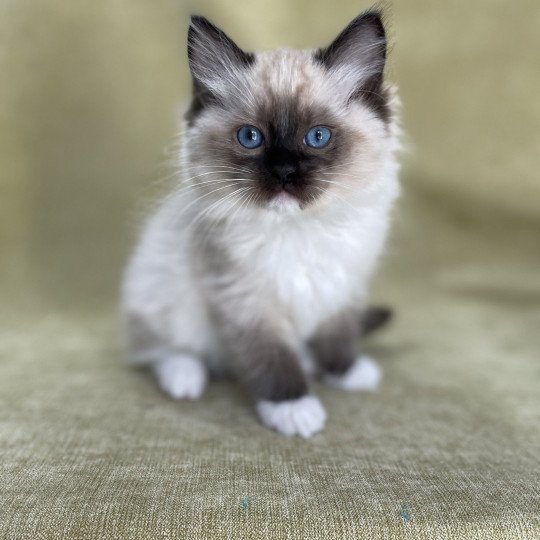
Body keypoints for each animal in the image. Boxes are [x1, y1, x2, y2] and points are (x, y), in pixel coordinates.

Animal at [122, 8, 400, 438]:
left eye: (317, 137)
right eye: (251, 137)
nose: (284, 172)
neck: (299, 231)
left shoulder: (343, 284)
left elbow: (338, 335)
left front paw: (346, 371)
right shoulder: (246, 299)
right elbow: (272, 357)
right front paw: (293, 408)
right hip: (162, 292)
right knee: (158, 349)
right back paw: (185, 378)